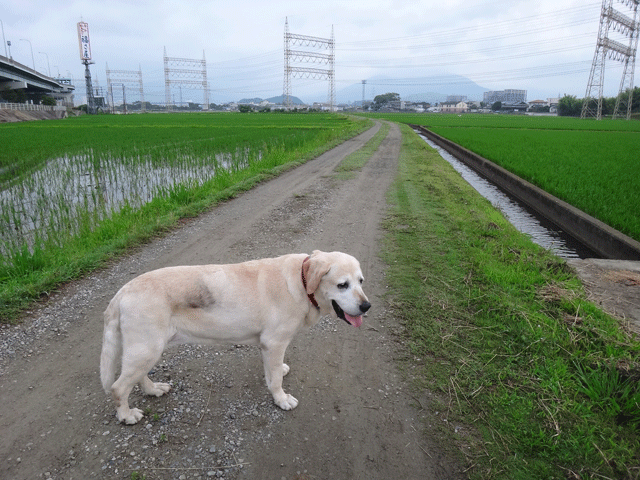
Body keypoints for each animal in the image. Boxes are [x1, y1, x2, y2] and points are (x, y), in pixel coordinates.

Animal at [99, 251, 370, 424]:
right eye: (342, 285)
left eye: (361, 281)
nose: (367, 306)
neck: (302, 284)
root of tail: (122, 293)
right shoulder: (274, 343)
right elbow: (275, 382)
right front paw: (281, 399)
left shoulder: (267, 345)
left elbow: (271, 373)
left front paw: (278, 373)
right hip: (147, 348)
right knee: (118, 387)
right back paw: (126, 415)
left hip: (146, 350)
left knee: (137, 377)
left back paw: (153, 389)